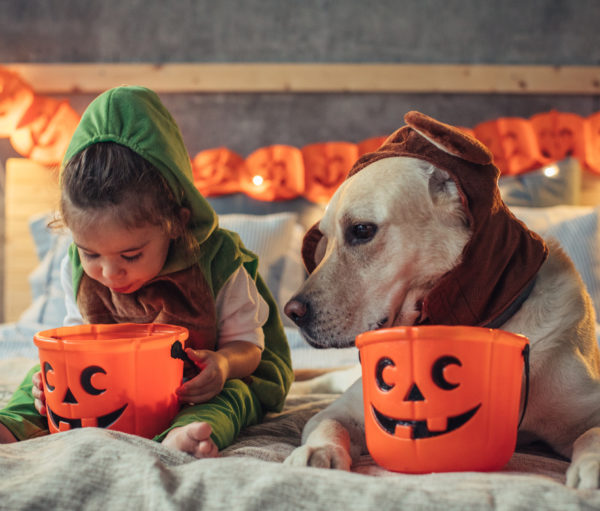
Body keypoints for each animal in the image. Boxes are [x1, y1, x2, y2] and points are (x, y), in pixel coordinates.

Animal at [284, 112, 600, 488]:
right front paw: (317, 452)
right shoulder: (345, 410)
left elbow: (591, 435)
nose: (291, 312)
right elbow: (328, 424)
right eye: (325, 241)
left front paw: (593, 468)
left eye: (361, 230)